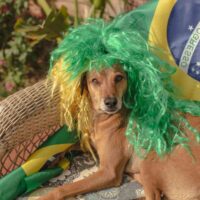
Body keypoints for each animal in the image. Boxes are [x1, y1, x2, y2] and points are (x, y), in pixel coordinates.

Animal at [39, 65, 200, 200]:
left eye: (118, 78)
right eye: (94, 81)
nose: (111, 102)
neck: (103, 119)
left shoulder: (108, 172)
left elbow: (64, 188)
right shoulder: (91, 144)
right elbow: (68, 147)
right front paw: (51, 161)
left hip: (150, 157)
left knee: (154, 195)